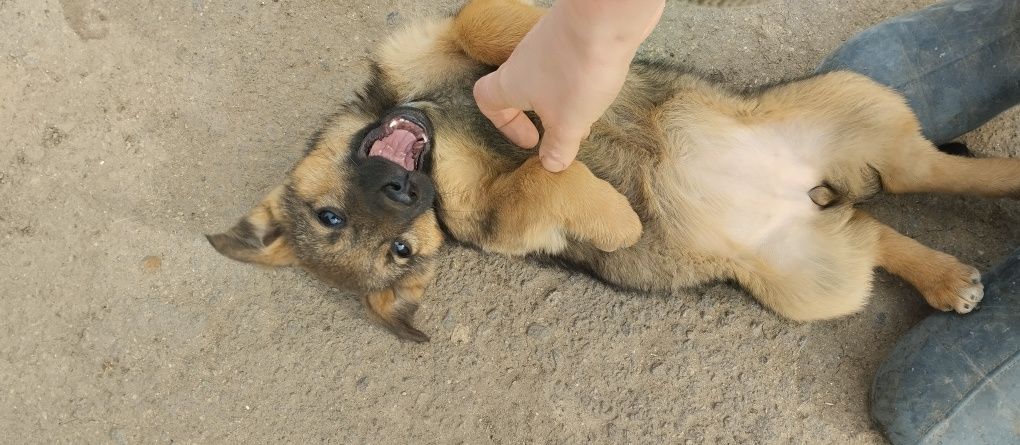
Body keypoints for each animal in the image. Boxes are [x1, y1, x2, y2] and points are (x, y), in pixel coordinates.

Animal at [207, 0, 1020, 340]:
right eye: (397, 251)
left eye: (330, 215)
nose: (406, 188)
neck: (439, 122)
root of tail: (805, 194)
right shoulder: (496, 216)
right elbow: (545, 183)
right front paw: (618, 215)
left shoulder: (429, 41)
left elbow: (488, 21)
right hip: (813, 283)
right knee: (880, 224)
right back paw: (948, 275)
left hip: (857, 100)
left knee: (918, 174)